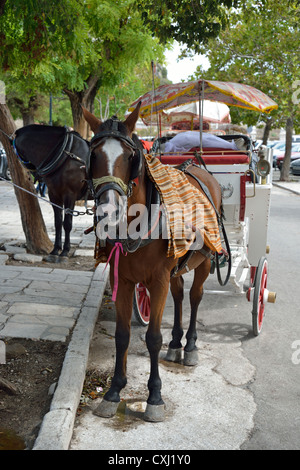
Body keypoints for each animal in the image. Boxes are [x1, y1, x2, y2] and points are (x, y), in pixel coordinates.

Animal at [14, 125, 91, 260]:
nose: (36, 177)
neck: (65, 154)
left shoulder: (70, 195)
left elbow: (67, 223)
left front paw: (65, 250)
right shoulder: (54, 195)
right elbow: (58, 222)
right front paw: (56, 249)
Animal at [82, 103, 223, 422]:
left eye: (130, 156)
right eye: (93, 155)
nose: (108, 213)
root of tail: (197, 166)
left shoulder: (157, 281)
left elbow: (152, 338)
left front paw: (155, 397)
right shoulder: (123, 281)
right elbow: (122, 335)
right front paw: (113, 391)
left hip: (204, 261)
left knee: (195, 297)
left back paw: (190, 346)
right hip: (176, 268)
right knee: (180, 295)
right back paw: (176, 344)